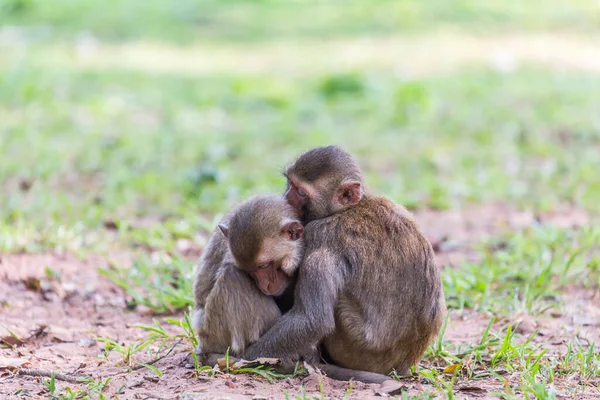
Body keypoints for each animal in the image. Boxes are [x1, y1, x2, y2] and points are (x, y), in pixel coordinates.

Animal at [244, 145, 446, 376]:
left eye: (301, 192)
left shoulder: (318, 234)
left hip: (354, 347)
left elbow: (311, 320)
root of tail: (402, 365)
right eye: (290, 184)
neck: (351, 208)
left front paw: (245, 357)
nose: (286, 198)